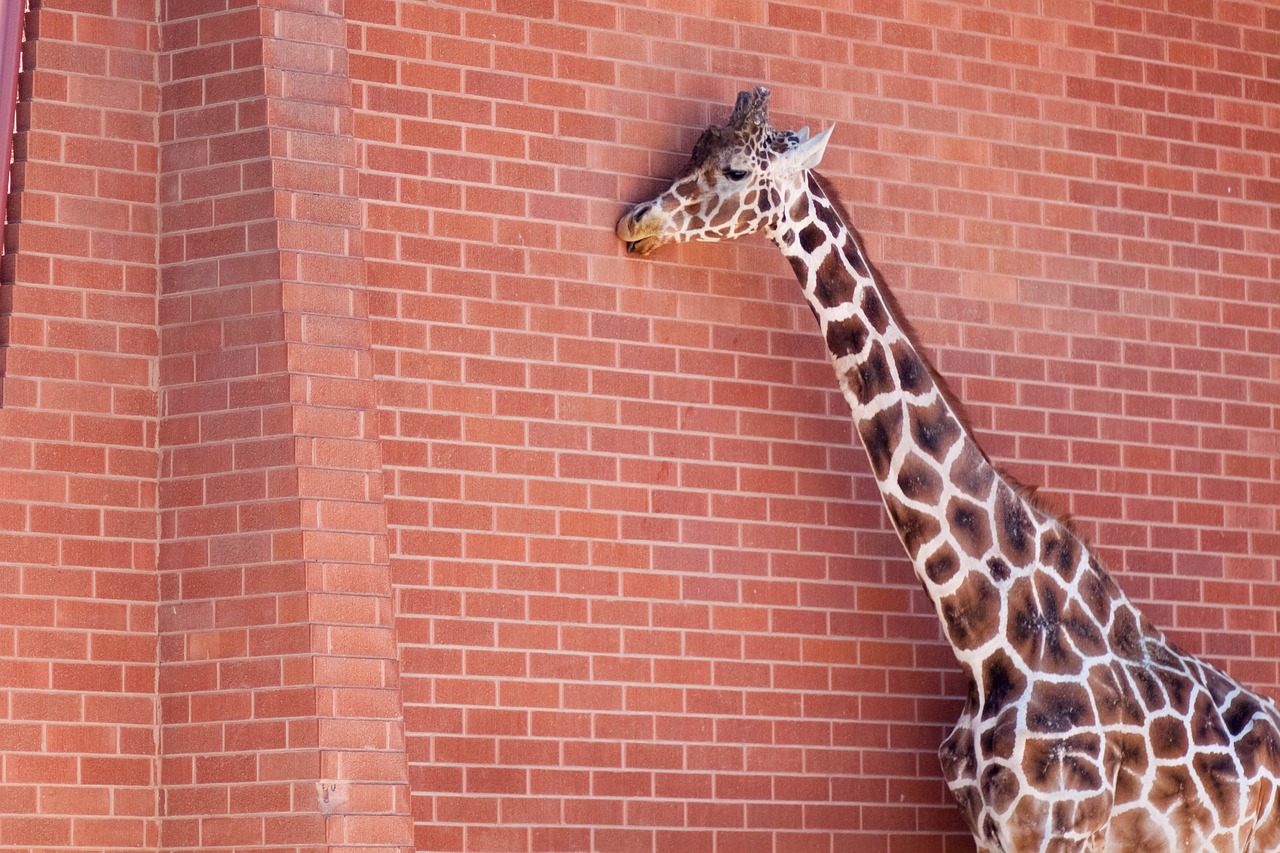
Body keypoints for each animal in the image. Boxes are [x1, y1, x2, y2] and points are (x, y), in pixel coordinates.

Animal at [614, 87, 1280, 850]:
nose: (635, 221)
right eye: (695, 148)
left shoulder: (1055, 827)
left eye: (733, 170)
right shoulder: (986, 828)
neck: (992, 640)